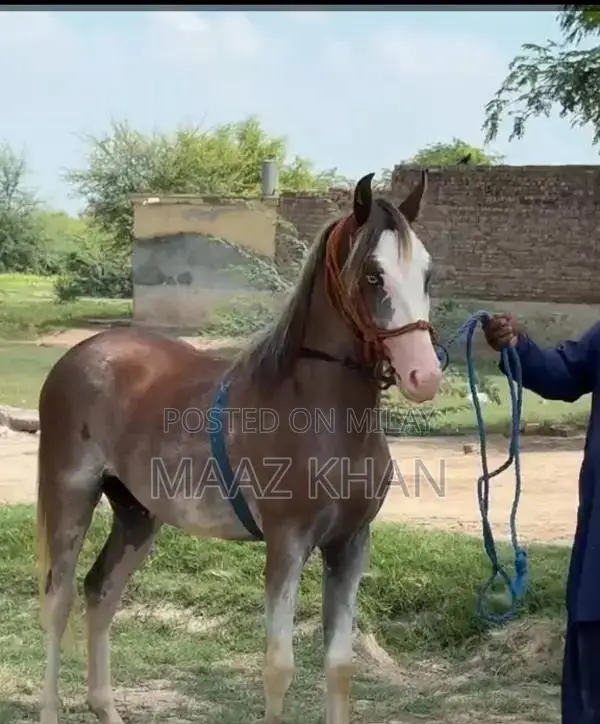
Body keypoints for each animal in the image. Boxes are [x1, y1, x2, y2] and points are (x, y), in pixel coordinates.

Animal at [36, 169, 443, 724]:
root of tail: (81, 355)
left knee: (101, 591)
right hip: (71, 497)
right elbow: (279, 667)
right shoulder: (286, 545)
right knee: (57, 602)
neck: (317, 413)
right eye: (373, 275)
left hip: (136, 514)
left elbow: (339, 665)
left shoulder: (350, 544)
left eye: (426, 273)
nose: (425, 376)